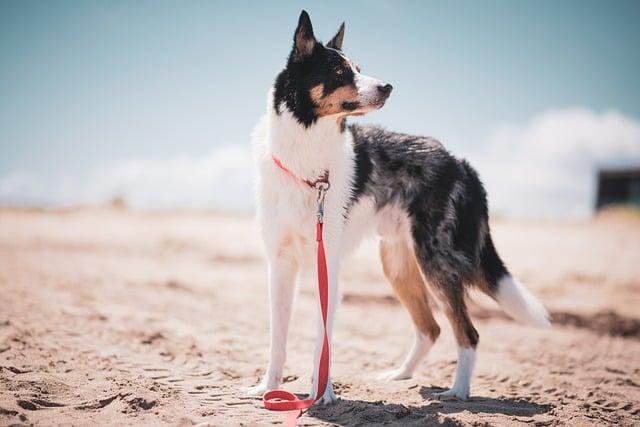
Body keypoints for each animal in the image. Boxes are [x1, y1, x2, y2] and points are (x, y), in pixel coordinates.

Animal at [248, 10, 548, 404]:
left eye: (359, 68)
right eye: (340, 72)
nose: (388, 86)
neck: (307, 158)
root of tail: (459, 162)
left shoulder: (328, 264)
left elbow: (321, 339)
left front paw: (321, 393)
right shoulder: (280, 264)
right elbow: (277, 337)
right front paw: (269, 387)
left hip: (436, 261)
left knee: (466, 332)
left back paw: (458, 391)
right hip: (399, 263)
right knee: (431, 328)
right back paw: (401, 375)